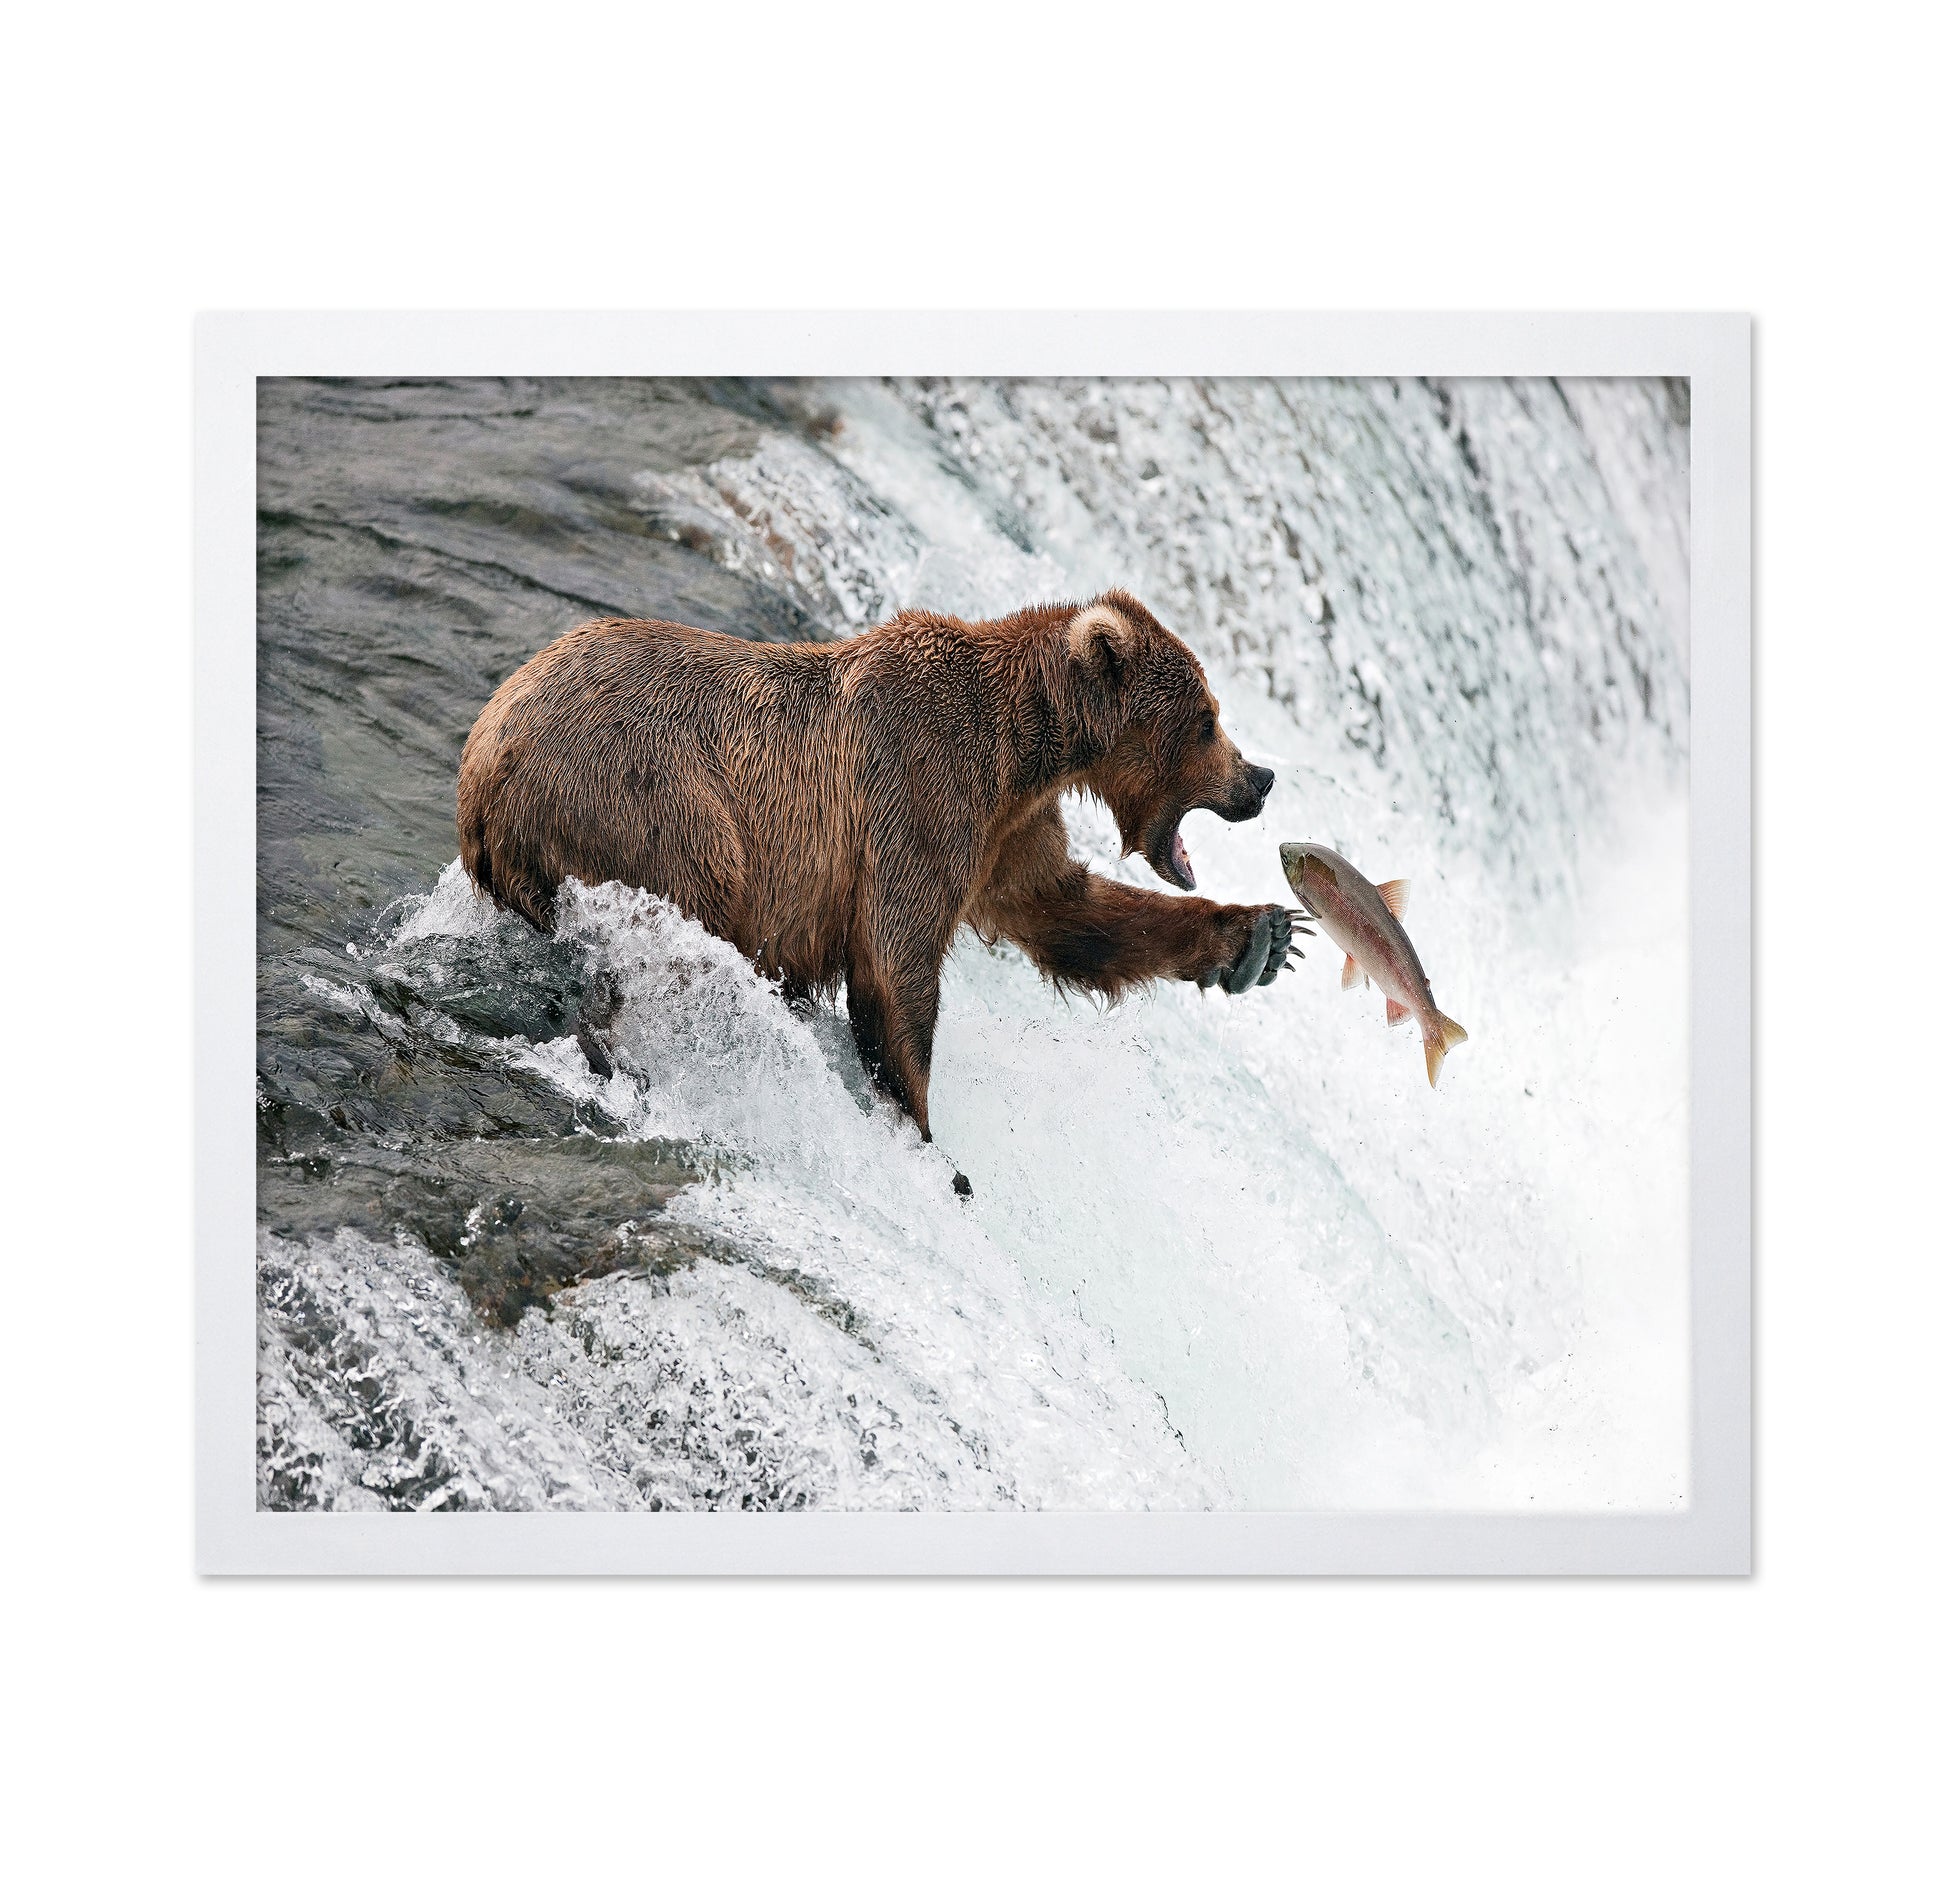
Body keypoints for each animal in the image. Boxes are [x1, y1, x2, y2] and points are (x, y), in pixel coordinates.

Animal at [457, 589, 1300, 1142]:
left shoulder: (1007, 831)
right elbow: (897, 967)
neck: (1026, 747)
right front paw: (924, 1133)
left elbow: (1067, 911)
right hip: (654, 802)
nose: (1260, 778)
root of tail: (486, 759)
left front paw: (1261, 937)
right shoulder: (921, 790)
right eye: (1208, 719)